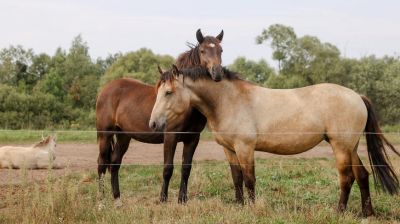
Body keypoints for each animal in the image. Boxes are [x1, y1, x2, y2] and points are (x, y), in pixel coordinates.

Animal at [95, 29, 223, 206]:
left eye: (220, 50)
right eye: (203, 50)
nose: (217, 73)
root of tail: (106, 89)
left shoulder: (192, 139)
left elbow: (186, 168)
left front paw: (182, 200)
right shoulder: (170, 136)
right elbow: (168, 168)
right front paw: (163, 199)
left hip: (123, 136)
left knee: (114, 163)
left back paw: (117, 200)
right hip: (105, 134)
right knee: (101, 163)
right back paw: (101, 201)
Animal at [150, 66, 400, 217]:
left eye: (169, 92)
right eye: (158, 91)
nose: (153, 124)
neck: (229, 100)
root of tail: (357, 96)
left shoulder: (245, 148)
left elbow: (249, 179)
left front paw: (252, 209)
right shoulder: (229, 149)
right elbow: (237, 178)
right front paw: (239, 206)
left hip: (341, 147)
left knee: (347, 178)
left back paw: (339, 211)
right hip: (351, 147)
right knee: (363, 175)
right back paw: (368, 213)